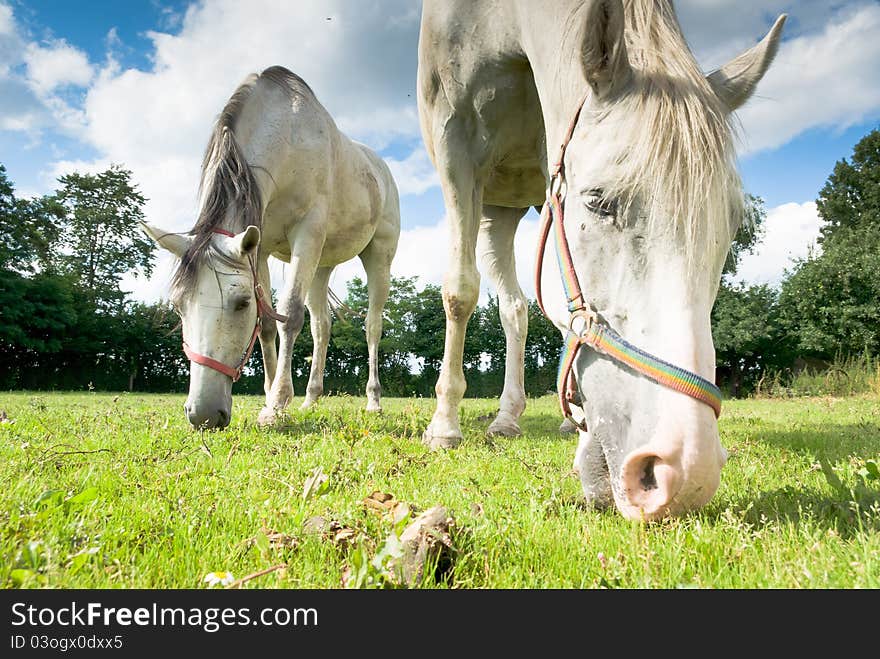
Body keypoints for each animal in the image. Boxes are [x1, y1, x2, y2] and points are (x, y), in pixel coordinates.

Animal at [146, 65, 400, 428]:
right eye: (179, 306)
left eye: (240, 304)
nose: (203, 414)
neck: (288, 138)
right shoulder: (260, 248)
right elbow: (267, 323)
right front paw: (270, 395)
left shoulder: (307, 234)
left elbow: (289, 315)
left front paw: (277, 403)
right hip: (320, 266)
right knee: (321, 327)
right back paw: (311, 398)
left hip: (378, 257)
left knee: (372, 326)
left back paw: (373, 400)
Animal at [418, 1, 784, 520]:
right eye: (598, 202)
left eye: (731, 226)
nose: (685, 471)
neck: (499, 21)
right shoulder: (455, 145)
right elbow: (459, 292)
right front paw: (445, 426)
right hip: (492, 209)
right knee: (509, 305)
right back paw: (505, 418)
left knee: (520, 308)